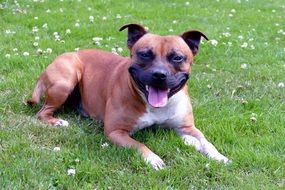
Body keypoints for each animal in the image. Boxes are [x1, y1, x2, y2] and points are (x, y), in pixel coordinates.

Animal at [27, 23, 230, 169]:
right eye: (144, 54)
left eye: (177, 57)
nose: (159, 74)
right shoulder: (116, 132)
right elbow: (139, 144)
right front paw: (153, 159)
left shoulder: (187, 127)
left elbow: (206, 142)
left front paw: (219, 156)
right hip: (66, 79)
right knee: (42, 112)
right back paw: (57, 121)